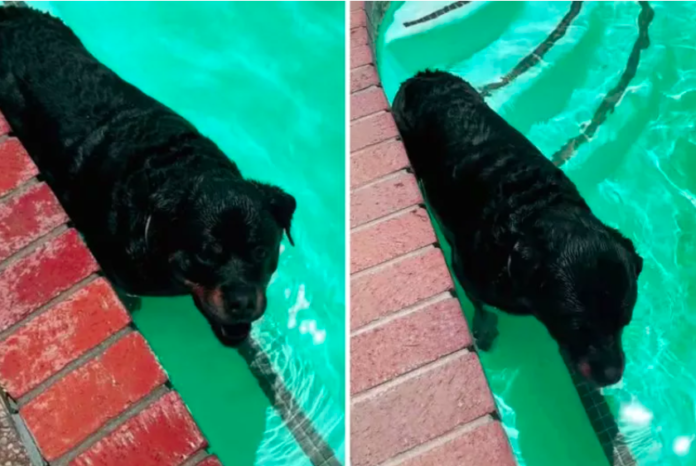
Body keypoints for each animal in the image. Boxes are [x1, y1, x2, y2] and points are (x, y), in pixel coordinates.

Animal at [394, 71, 644, 388]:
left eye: (625, 319)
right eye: (576, 326)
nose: (612, 376)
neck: (530, 211)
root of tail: (424, 75)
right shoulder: (464, 268)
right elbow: (480, 305)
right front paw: (485, 328)